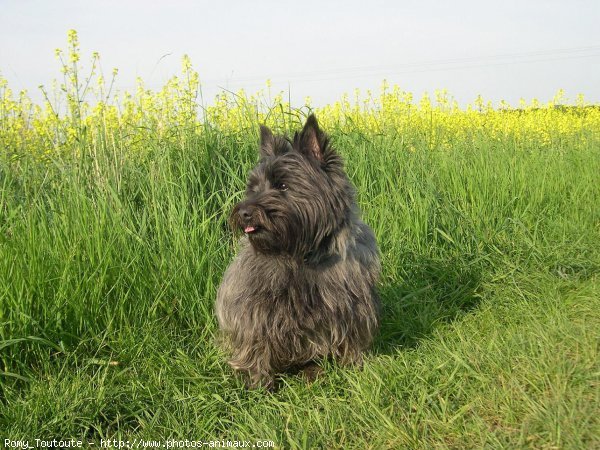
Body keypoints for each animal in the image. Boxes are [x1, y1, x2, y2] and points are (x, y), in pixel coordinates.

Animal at [216, 114, 380, 388]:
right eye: (253, 187)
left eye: (283, 185)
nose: (244, 212)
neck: (300, 253)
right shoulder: (253, 308)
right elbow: (257, 343)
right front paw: (257, 383)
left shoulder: (351, 303)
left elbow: (349, 336)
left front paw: (351, 367)